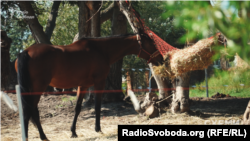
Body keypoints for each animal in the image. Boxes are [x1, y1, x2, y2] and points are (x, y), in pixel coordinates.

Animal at [14, 33, 162, 140]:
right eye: (151, 43)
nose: (160, 59)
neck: (101, 50)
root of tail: (26, 52)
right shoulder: (99, 82)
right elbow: (97, 106)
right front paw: (98, 129)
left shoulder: (83, 85)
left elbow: (78, 108)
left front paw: (73, 132)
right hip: (38, 88)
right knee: (31, 111)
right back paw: (41, 137)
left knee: (31, 111)